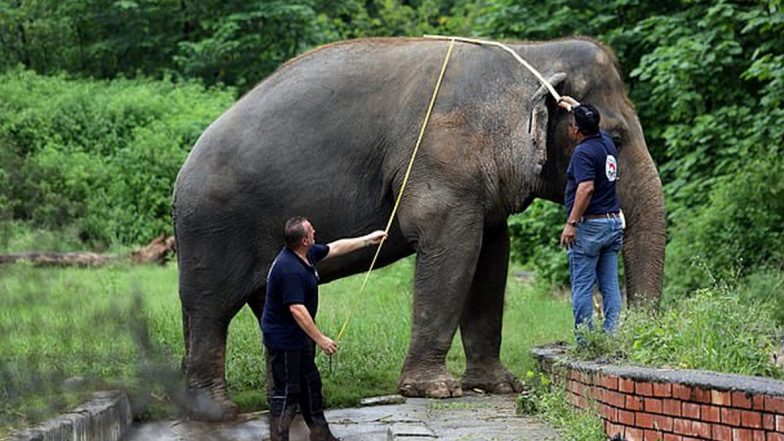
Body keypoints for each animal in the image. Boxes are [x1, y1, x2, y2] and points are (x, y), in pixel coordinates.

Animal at [172, 37, 666, 421]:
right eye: (616, 138)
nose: (632, 337)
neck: (530, 54)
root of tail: (182, 173)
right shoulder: (441, 162)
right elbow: (454, 249)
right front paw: (436, 391)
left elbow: (492, 258)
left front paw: (499, 386)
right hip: (212, 231)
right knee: (211, 309)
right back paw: (218, 412)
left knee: (257, 311)